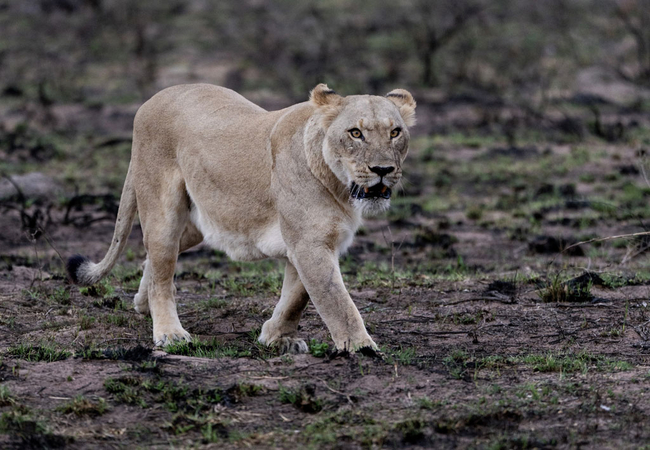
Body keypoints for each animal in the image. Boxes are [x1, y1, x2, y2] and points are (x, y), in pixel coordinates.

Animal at [67, 83, 416, 353]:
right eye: (355, 133)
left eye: (395, 132)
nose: (383, 169)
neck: (341, 188)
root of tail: (150, 100)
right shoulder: (309, 242)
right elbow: (336, 300)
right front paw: (361, 346)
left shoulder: (315, 243)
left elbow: (297, 297)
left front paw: (277, 337)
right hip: (162, 212)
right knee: (162, 271)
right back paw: (169, 333)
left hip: (195, 225)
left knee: (152, 259)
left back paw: (142, 304)